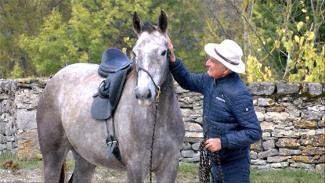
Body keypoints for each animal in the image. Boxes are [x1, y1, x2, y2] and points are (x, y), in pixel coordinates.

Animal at [36, 10, 184, 182]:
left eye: (163, 52)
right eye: (135, 52)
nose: (143, 94)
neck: (157, 121)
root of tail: (54, 79)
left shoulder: (169, 168)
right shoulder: (135, 167)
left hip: (85, 159)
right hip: (52, 156)